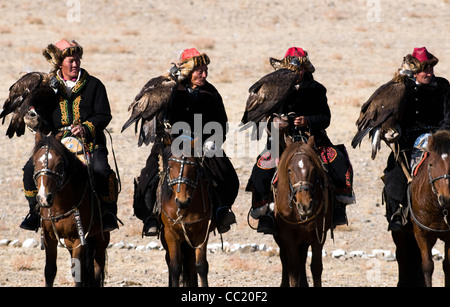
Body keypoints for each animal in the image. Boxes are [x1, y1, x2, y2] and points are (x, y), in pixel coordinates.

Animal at [31, 131, 110, 288]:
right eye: (34, 163)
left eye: (60, 164)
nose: (44, 198)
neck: (60, 206)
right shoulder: (49, 237)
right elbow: (49, 271)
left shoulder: (78, 238)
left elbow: (77, 272)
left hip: (101, 237)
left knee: (97, 269)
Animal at [158, 143, 214, 288]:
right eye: (171, 166)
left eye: (193, 167)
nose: (182, 201)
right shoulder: (170, 234)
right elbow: (175, 267)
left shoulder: (202, 233)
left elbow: (201, 266)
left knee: (190, 264)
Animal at [272, 136, 332, 288]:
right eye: (289, 170)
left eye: (313, 169)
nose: (305, 205)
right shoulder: (288, 237)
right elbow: (293, 269)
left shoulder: (319, 235)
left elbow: (316, 268)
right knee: (285, 258)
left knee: (303, 256)